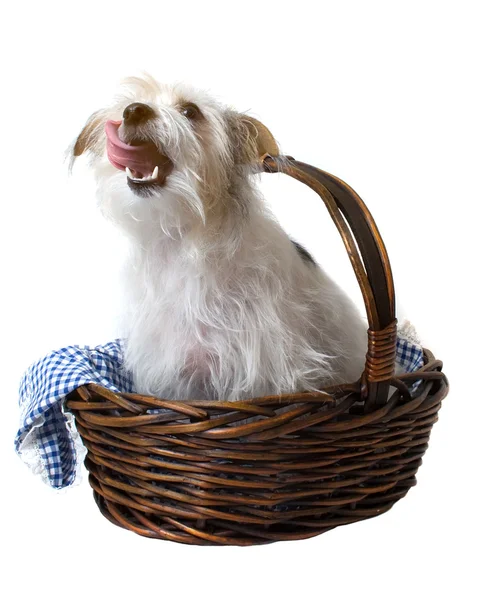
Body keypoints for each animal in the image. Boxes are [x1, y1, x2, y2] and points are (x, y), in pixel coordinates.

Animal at [70, 76, 368, 404]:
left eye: (190, 111)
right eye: (128, 104)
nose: (134, 111)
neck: (182, 241)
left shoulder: (265, 369)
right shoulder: (176, 376)